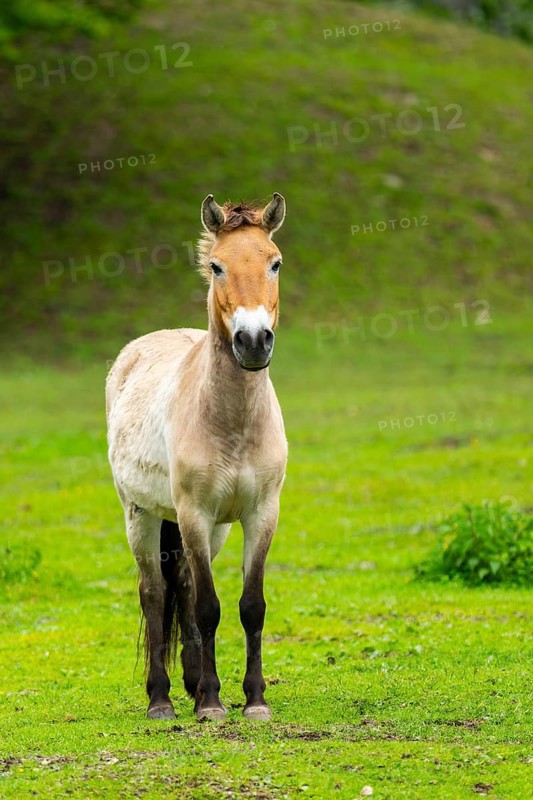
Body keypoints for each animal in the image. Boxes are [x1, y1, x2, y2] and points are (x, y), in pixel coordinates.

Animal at [105, 192, 287, 721]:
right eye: (216, 266)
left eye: (275, 263)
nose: (253, 341)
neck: (233, 424)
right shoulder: (194, 513)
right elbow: (208, 606)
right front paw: (211, 703)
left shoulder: (259, 514)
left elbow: (250, 605)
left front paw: (254, 700)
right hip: (143, 514)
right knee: (155, 594)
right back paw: (163, 698)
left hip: (210, 528)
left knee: (182, 588)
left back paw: (188, 684)